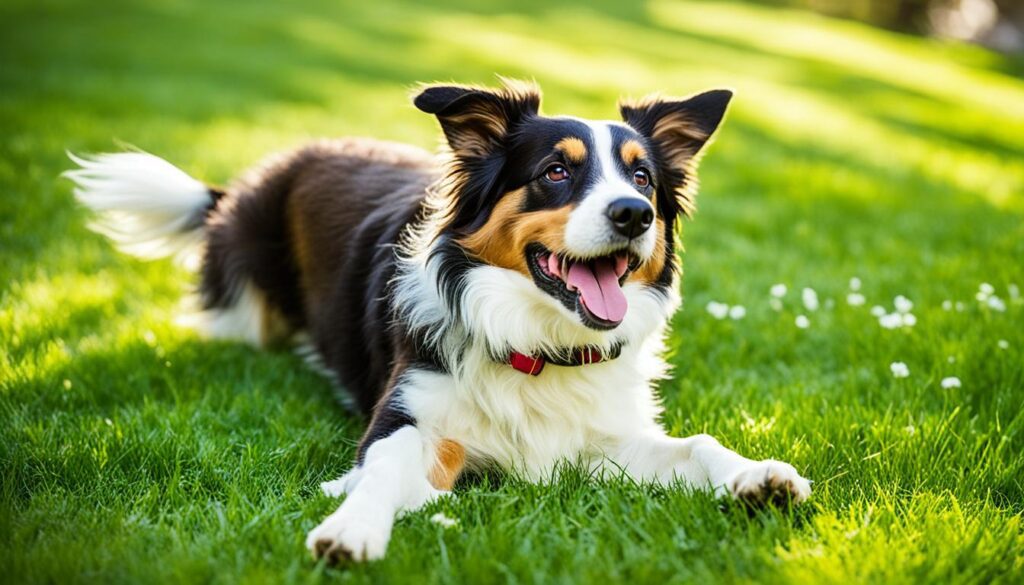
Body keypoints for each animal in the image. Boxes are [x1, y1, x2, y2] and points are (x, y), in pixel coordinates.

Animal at [68, 79, 811, 565]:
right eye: (556, 171)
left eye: (644, 179)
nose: (634, 214)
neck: (535, 345)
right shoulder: (408, 414)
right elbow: (386, 466)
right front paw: (354, 525)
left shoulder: (603, 440)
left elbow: (698, 444)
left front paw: (759, 476)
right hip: (247, 303)